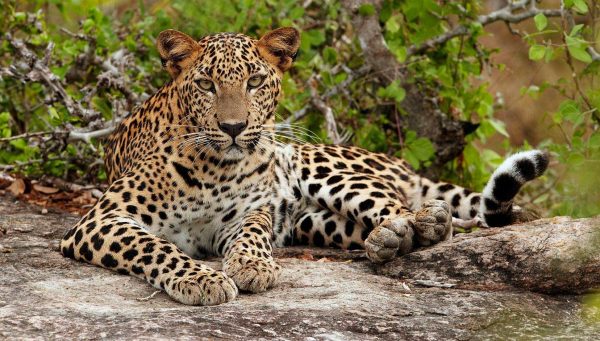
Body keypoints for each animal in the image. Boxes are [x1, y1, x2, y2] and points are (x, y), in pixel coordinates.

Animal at [59, 25, 548, 302]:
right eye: (206, 84)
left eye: (255, 81)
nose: (234, 127)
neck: (214, 168)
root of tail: (397, 162)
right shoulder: (102, 220)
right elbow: (155, 246)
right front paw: (202, 279)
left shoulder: (247, 213)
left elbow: (252, 234)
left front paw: (252, 266)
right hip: (314, 222)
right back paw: (386, 241)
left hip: (321, 167)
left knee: (411, 210)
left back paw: (416, 225)